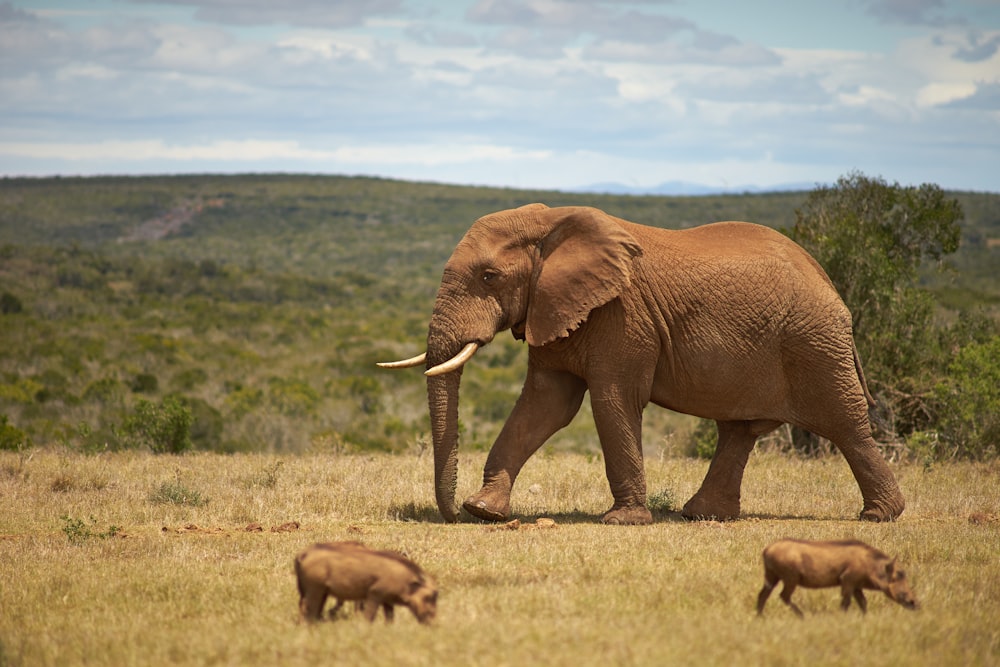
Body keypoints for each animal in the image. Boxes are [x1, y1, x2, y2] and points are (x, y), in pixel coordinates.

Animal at [376, 204, 908, 528]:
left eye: (489, 276)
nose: (451, 516)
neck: (552, 222)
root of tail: (828, 281)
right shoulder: (554, 305)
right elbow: (545, 406)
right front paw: (485, 511)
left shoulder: (623, 315)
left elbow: (612, 400)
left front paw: (622, 521)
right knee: (739, 431)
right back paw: (701, 516)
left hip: (814, 343)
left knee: (845, 424)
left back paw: (880, 516)